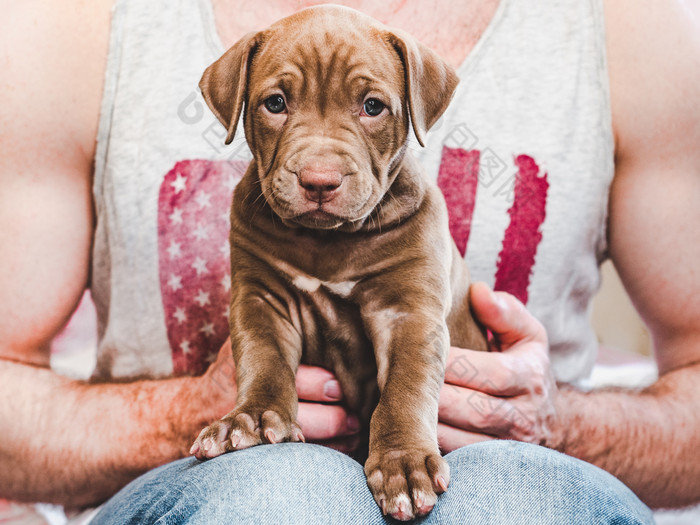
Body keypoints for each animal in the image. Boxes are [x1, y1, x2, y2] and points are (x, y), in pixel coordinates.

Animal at [190, 5, 486, 520]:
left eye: (372, 107)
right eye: (275, 103)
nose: (319, 180)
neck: (327, 241)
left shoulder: (408, 313)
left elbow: (405, 389)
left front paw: (403, 462)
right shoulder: (260, 299)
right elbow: (263, 359)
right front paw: (249, 420)